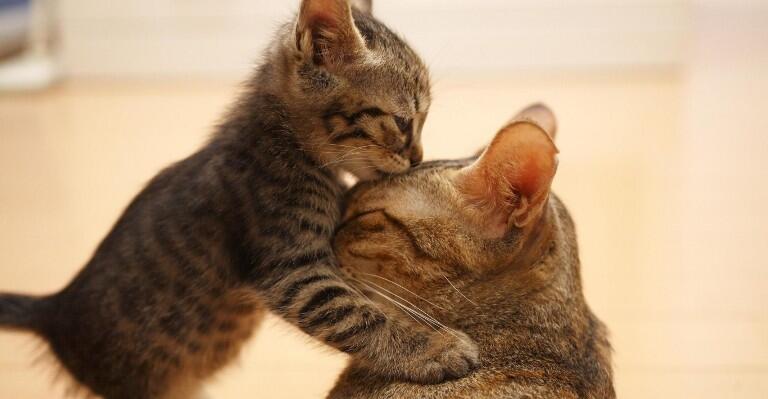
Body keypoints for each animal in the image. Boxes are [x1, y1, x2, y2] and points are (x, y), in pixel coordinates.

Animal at [0, 0, 480, 399]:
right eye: (403, 122)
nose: (417, 156)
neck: (287, 146)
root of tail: (56, 308)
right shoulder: (291, 270)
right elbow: (358, 316)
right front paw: (435, 347)